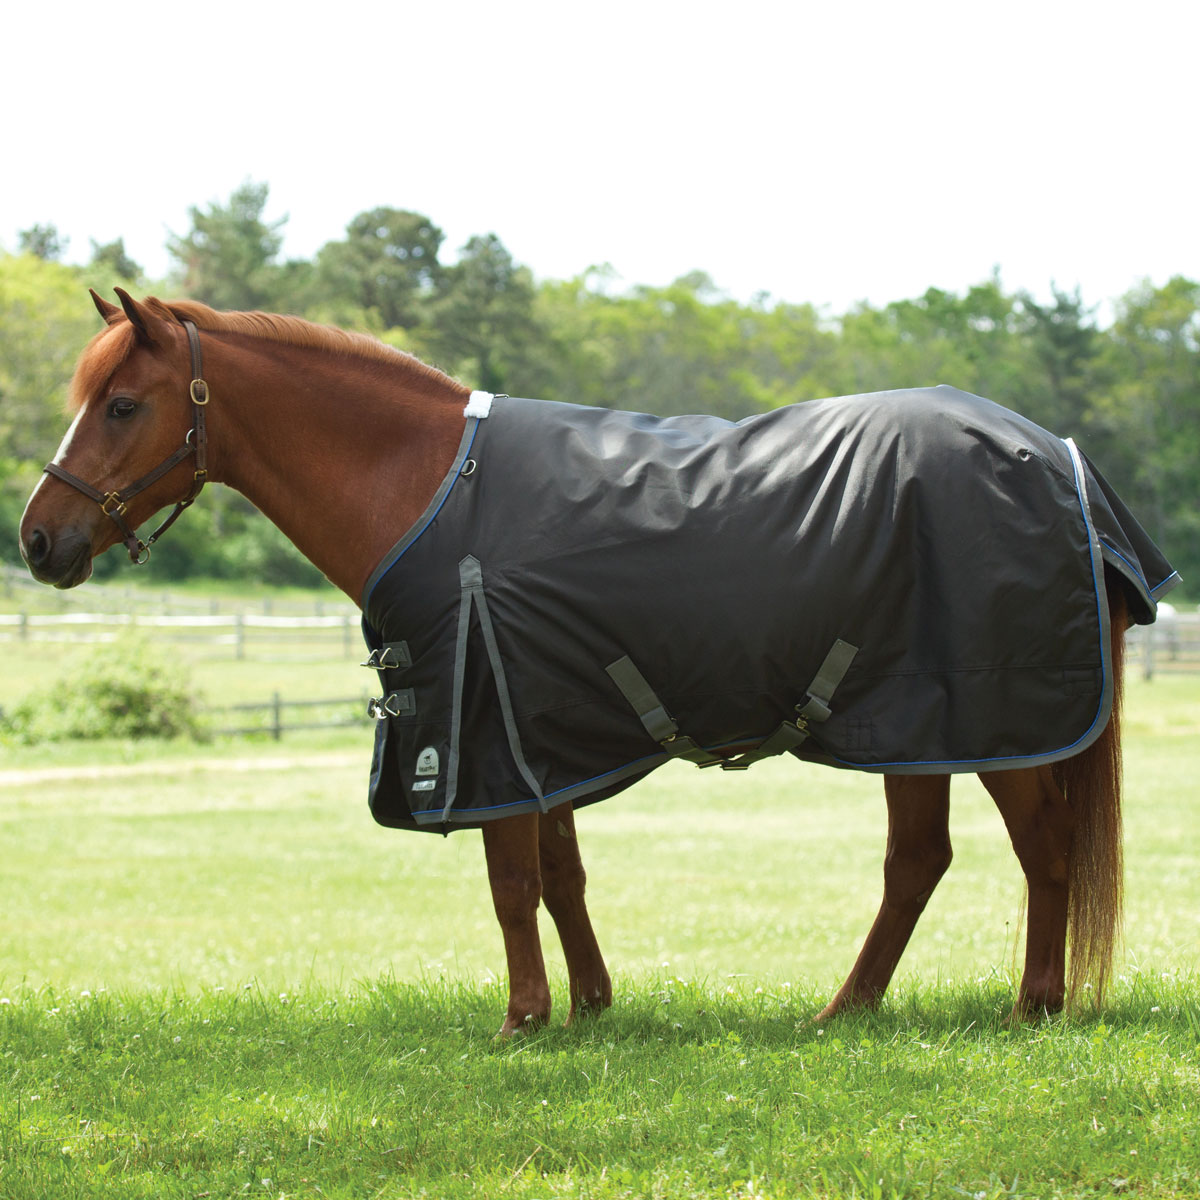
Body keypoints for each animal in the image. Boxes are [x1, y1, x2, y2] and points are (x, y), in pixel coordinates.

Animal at [19, 289, 1178, 1036]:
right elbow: (560, 874)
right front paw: (588, 1008)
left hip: (982, 721)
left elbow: (509, 881)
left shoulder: (482, 724)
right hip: (911, 729)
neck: (429, 483)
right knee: (922, 863)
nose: (37, 541)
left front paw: (523, 1021)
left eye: (122, 404)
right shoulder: (539, 726)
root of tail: (1059, 460)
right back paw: (848, 1010)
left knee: (1041, 852)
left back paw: (1029, 1007)